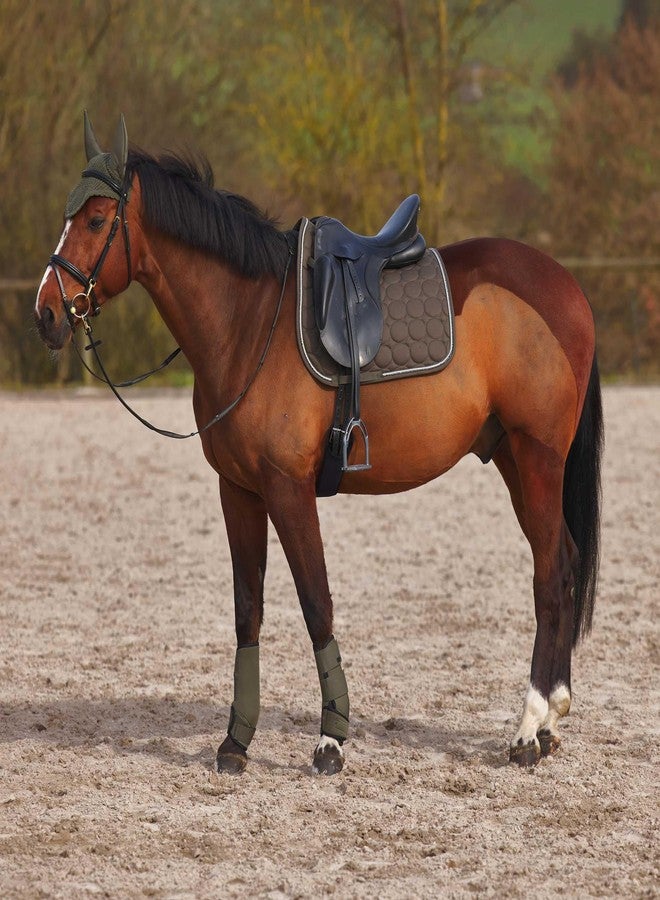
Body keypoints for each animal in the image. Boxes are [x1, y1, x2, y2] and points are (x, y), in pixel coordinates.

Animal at [35, 113, 603, 776]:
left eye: (97, 221)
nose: (47, 313)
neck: (249, 322)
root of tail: (564, 285)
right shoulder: (238, 490)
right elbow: (248, 607)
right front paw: (235, 741)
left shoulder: (288, 488)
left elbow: (315, 602)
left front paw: (331, 737)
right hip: (514, 458)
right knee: (563, 560)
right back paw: (551, 720)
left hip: (537, 458)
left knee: (549, 573)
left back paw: (529, 726)